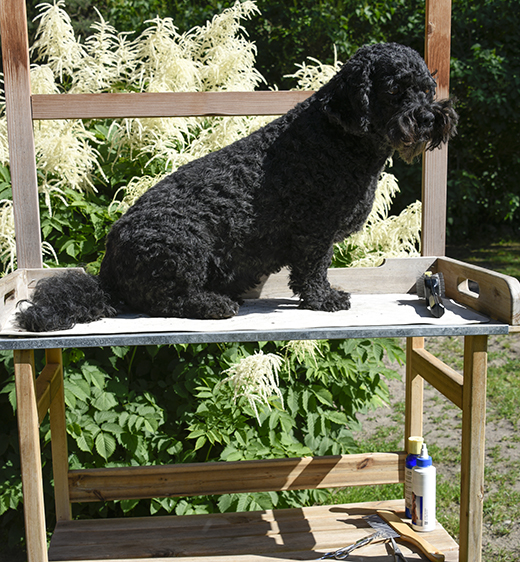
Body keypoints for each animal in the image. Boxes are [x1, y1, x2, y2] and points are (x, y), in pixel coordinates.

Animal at [16, 44, 458, 332]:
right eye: (395, 89)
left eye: (426, 88)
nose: (429, 117)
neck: (335, 139)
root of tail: (108, 262)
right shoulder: (313, 233)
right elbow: (313, 272)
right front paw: (324, 300)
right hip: (185, 241)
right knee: (167, 301)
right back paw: (216, 304)